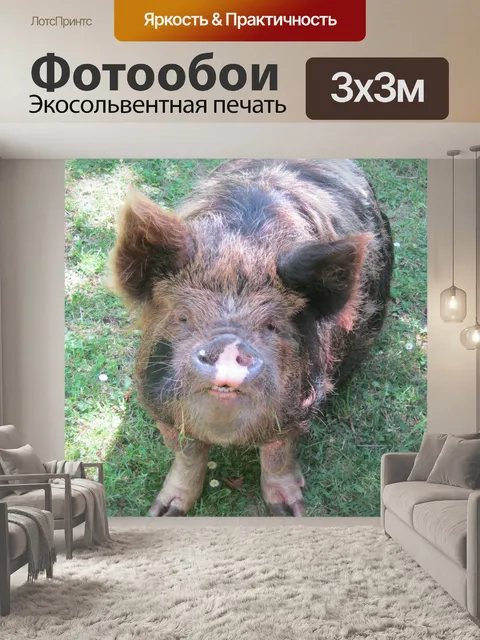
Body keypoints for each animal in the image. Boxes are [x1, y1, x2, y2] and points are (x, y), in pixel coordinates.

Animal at [109, 159, 394, 517]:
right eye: (183, 317)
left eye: (272, 326)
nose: (228, 344)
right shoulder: (159, 405)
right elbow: (187, 454)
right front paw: (162, 513)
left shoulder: (303, 403)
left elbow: (277, 455)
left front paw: (290, 513)